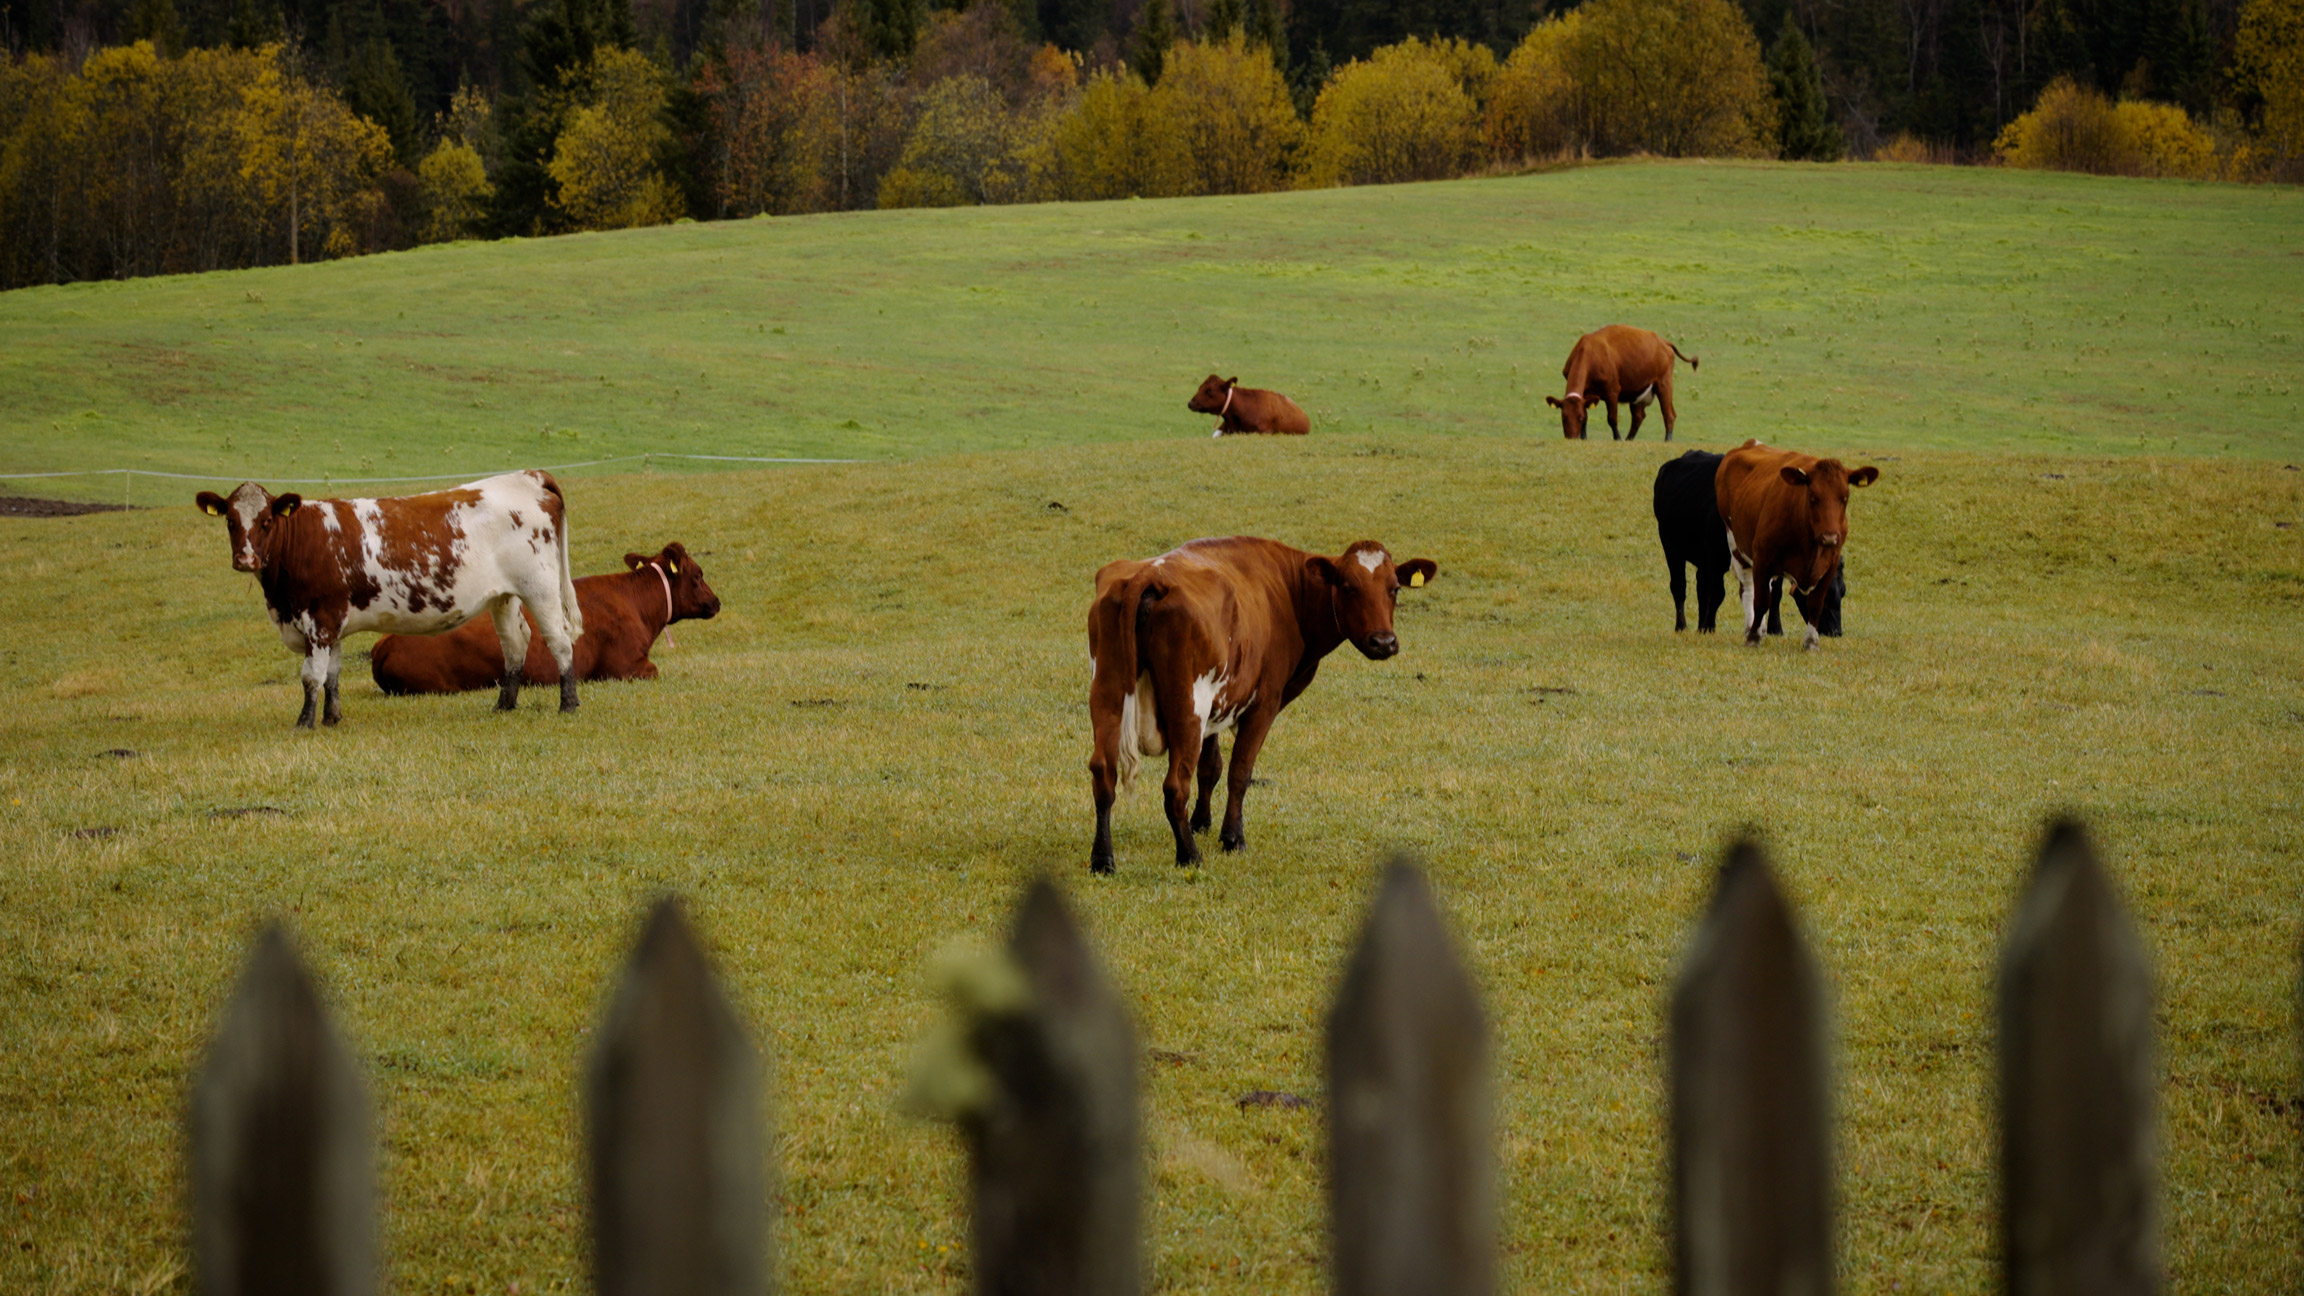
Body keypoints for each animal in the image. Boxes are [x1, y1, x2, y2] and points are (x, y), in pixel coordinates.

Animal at [194, 471, 583, 727]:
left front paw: (304, 723)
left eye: (266, 521)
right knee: (515, 644)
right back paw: (504, 705)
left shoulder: (319, 620)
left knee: (559, 640)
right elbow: (332, 674)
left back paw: (568, 704)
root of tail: (527, 476)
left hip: (540, 586)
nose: (245, 559)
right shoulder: (333, 623)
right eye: (230, 521)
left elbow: (311, 676)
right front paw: (332, 718)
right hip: (504, 595)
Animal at [1085, 536, 1437, 874]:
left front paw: (1202, 822)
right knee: (1175, 786)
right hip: (1187, 706)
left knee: (1104, 773)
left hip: (1107, 694)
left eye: (1394, 588)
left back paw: (1103, 859)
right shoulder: (1262, 704)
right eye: (1348, 587)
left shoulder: (1221, 701)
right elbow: (1240, 771)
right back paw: (1189, 856)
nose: (1383, 642)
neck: (1290, 590)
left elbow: (1210, 766)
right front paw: (1232, 837)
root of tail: (1150, 573)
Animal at [1544, 325, 1698, 441]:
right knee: (1638, 417)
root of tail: (1663, 341)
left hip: (1664, 383)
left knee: (1669, 414)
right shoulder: (1586, 395)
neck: (1590, 352)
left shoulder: (1612, 391)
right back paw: (1629, 440)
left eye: (1579, 418)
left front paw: (1617, 439)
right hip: (1638, 391)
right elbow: (1589, 416)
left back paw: (1667, 440)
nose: (1571, 438)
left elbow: (1612, 418)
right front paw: (1584, 438)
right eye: (1563, 417)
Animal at [1655, 449, 1844, 636]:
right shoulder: (1714, 558)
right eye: (1826, 595)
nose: (1836, 631)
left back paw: (1700, 626)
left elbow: (1775, 595)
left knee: (1701, 587)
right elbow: (1717, 593)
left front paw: (1775, 628)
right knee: (1679, 587)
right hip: (1671, 549)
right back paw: (1682, 626)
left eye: (1842, 592)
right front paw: (1710, 627)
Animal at [1715, 440, 1879, 649]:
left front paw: (1811, 642)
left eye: (1845, 497)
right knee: (1749, 589)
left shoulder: (1830, 565)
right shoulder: (1762, 558)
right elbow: (1761, 600)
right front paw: (1753, 637)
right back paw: (1751, 628)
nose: (1830, 537)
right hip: (1736, 545)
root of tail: (1751, 443)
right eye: (1813, 497)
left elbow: (1814, 603)